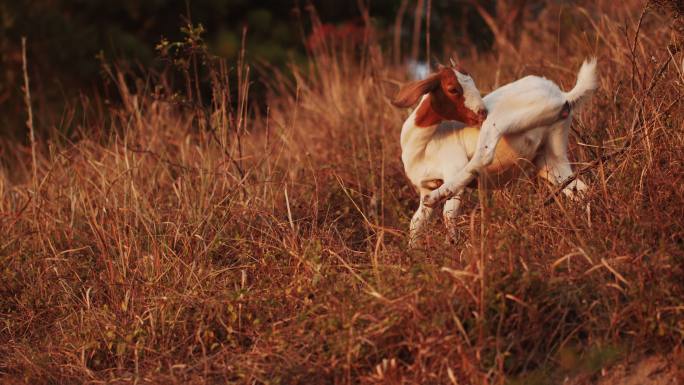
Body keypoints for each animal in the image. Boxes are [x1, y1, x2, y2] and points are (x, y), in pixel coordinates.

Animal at [392, 58, 596, 244]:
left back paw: (435, 197)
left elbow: (448, 214)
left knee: (483, 156)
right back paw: (586, 226)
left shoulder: (452, 167)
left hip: (504, 119)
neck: (425, 144)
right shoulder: (425, 186)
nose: (482, 112)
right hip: (551, 155)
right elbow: (416, 223)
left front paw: (452, 244)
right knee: (578, 189)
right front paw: (415, 252)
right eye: (453, 89)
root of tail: (563, 95)